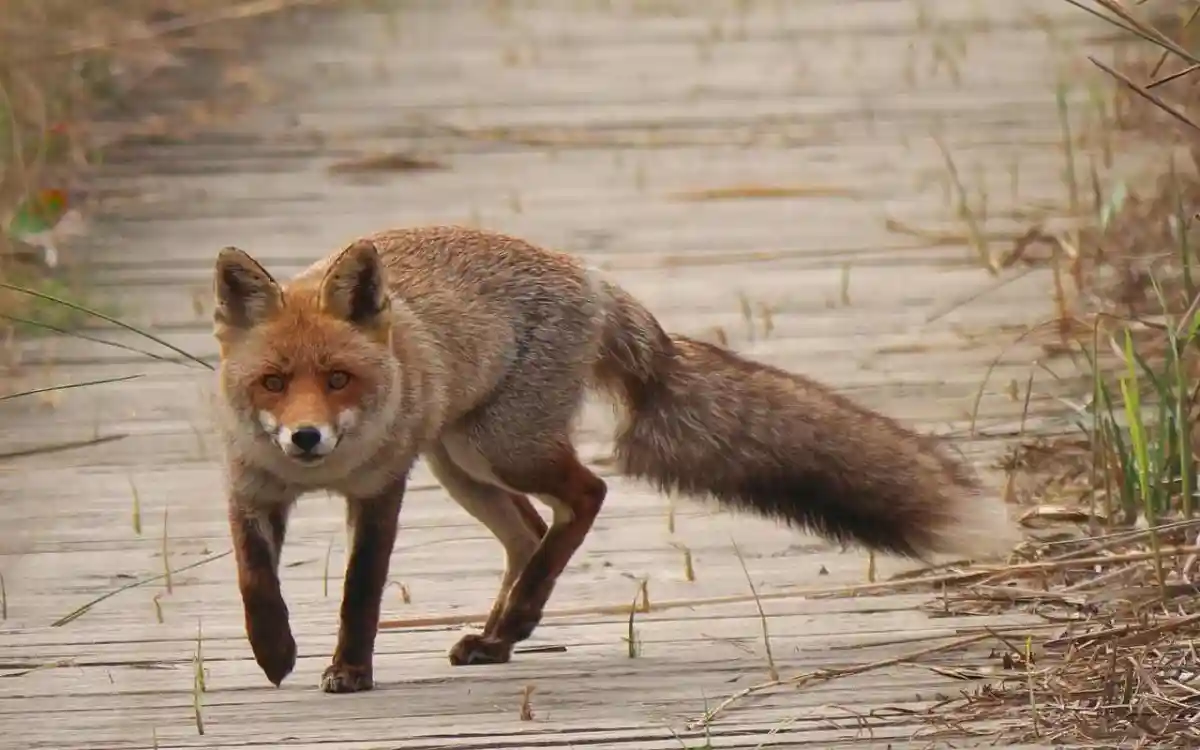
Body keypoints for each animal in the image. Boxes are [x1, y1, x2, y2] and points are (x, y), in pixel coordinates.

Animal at [211, 225, 1017, 691]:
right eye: (274, 383)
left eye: (338, 380)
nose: (306, 439)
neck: (323, 476)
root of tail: (594, 278)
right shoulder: (250, 485)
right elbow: (253, 580)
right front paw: (273, 651)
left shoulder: (381, 491)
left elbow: (360, 593)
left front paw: (349, 669)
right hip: (461, 461)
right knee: (532, 533)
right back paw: (502, 635)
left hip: (495, 447)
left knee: (586, 496)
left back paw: (514, 622)